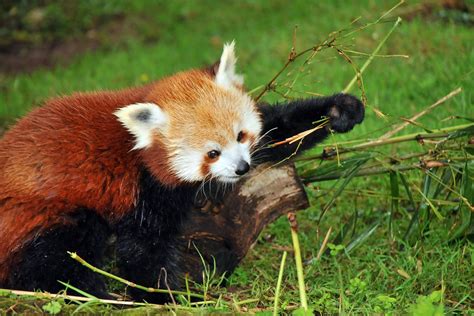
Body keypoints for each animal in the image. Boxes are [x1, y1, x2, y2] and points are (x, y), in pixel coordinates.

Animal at [0, 42, 364, 302]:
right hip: (37, 214)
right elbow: (144, 250)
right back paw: (92, 292)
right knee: (60, 252)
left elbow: (278, 132)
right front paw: (165, 296)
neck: (139, 149)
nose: (242, 168)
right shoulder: (142, 189)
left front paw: (338, 110)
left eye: (241, 136)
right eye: (212, 153)